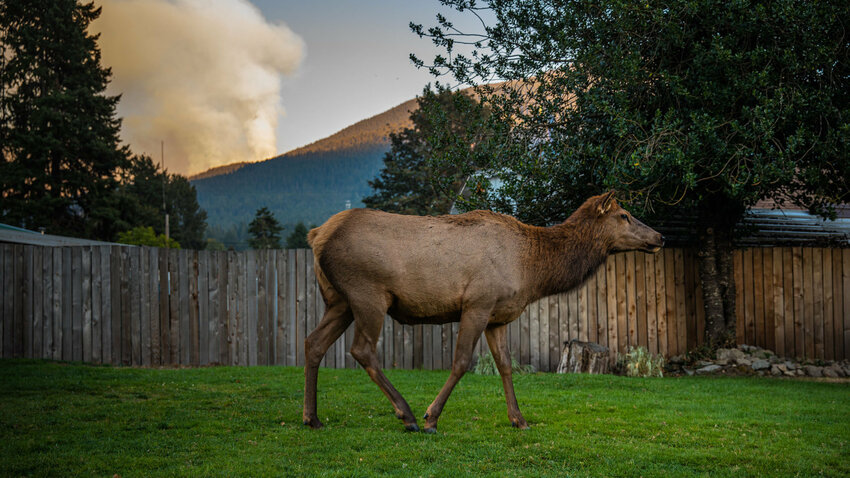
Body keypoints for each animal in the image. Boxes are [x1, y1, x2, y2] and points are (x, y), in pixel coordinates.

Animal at [302, 191, 664, 433]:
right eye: (624, 215)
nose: (660, 236)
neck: (532, 269)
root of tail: (316, 236)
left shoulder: (498, 316)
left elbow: (505, 364)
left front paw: (519, 419)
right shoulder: (477, 302)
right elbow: (462, 361)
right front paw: (432, 417)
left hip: (339, 301)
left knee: (313, 343)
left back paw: (312, 417)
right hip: (368, 295)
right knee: (361, 349)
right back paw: (407, 415)